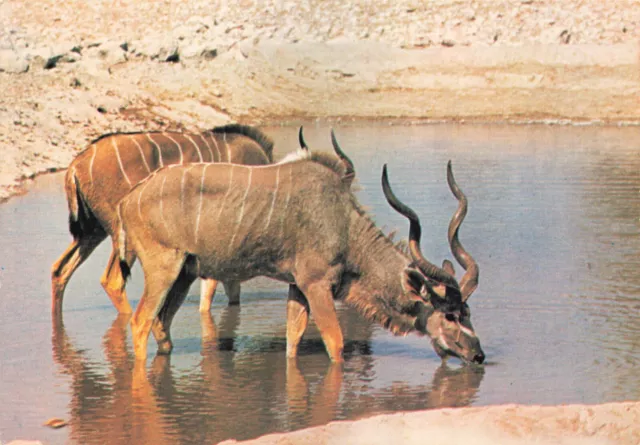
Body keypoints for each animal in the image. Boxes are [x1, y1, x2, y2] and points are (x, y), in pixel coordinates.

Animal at [117, 147, 482, 362]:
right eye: (451, 315)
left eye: (468, 312)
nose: (477, 355)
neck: (344, 223)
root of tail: (129, 198)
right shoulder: (316, 284)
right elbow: (335, 342)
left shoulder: (297, 286)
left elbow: (293, 340)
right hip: (164, 269)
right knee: (140, 322)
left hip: (185, 272)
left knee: (161, 325)